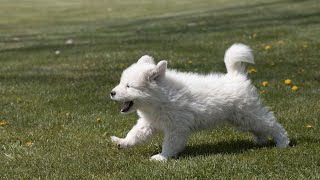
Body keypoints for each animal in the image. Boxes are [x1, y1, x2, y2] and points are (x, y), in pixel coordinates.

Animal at [110, 43, 290, 160]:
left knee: (271, 123)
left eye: (128, 86)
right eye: (121, 83)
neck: (159, 99)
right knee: (260, 128)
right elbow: (135, 134)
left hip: (248, 114)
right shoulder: (148, 123)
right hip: (242, 119)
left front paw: (162, 157)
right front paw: (122, 142)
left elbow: (170, 144)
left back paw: (283, 142)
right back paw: (261, 141)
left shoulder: (177, 127)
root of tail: (235, 76)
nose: (112, 93)